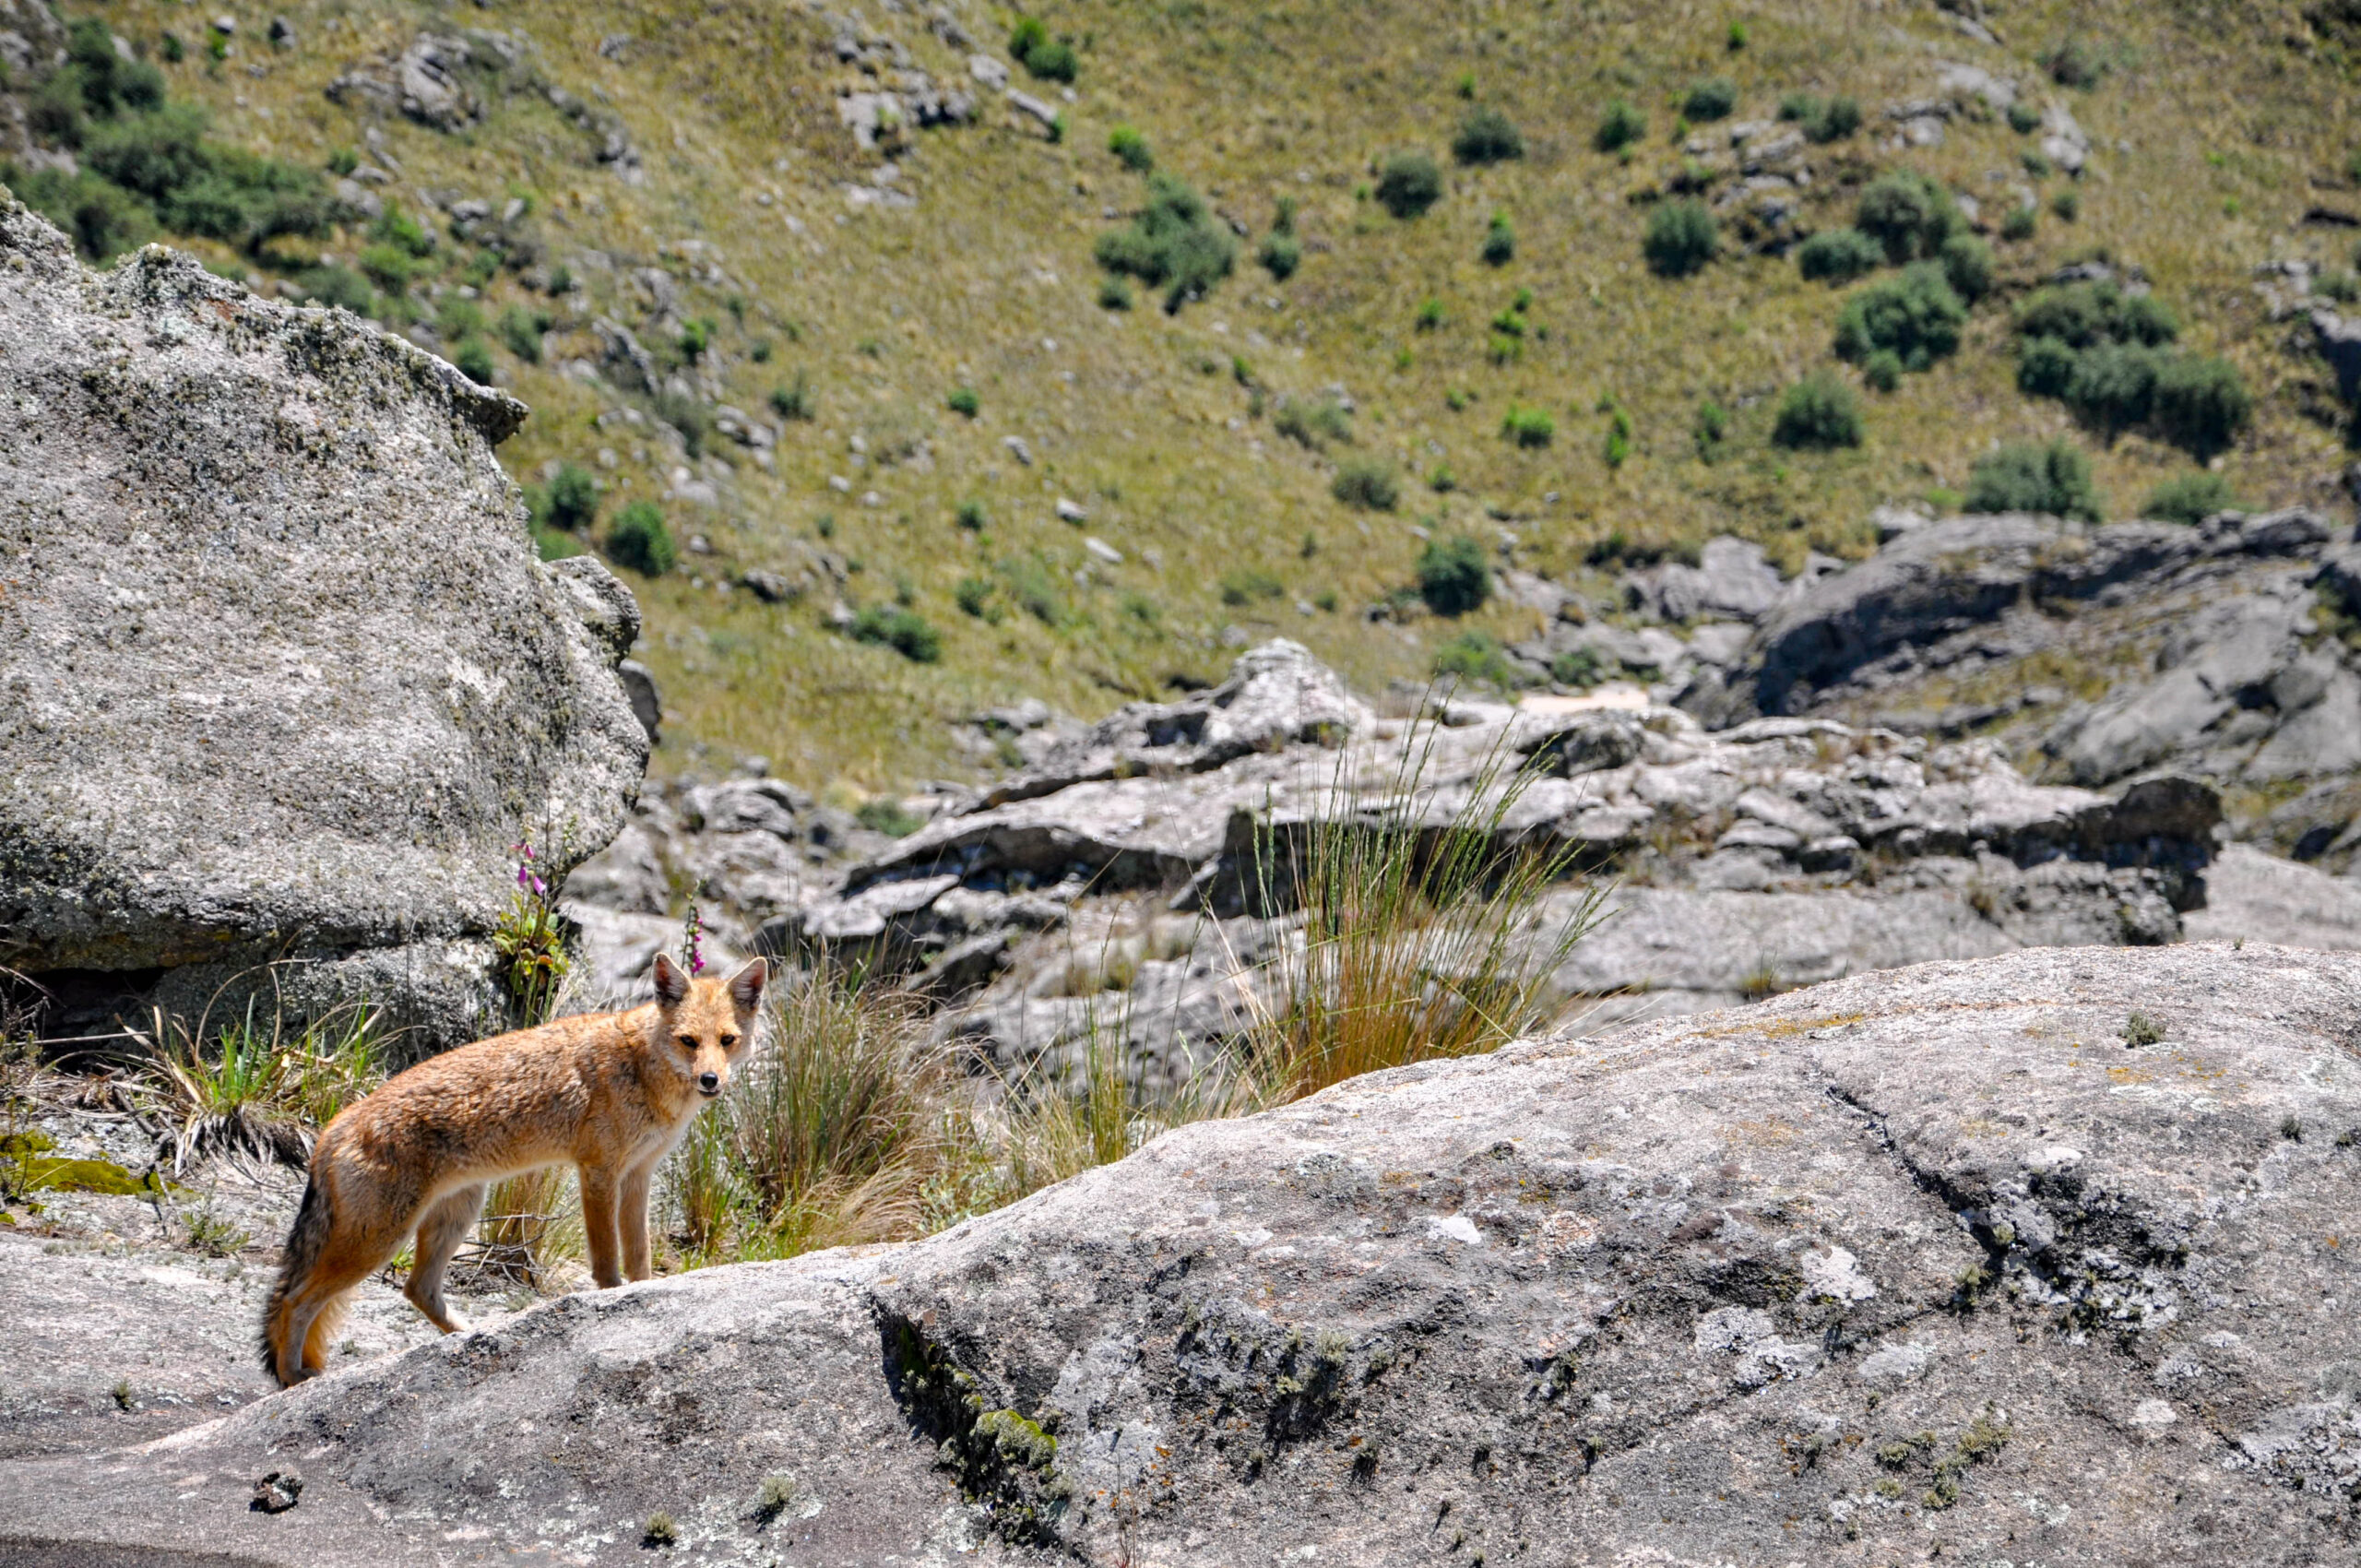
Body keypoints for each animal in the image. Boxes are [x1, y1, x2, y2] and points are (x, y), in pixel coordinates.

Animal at [258, 952, 767, 1388]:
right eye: (688, 1042)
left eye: (727, 1041)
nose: (710, 1080)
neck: (641, 1067)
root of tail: (333, 1127)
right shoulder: (599, 1171)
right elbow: (607, 1262)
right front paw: (612, 1297)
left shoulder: (638, 1175)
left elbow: (639, 1256)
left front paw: (642, 1293)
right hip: (378, 1242)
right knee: (296, 1300)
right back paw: (292, 1378)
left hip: (454, 1216)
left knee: (415, 1289)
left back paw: (466, 1335)